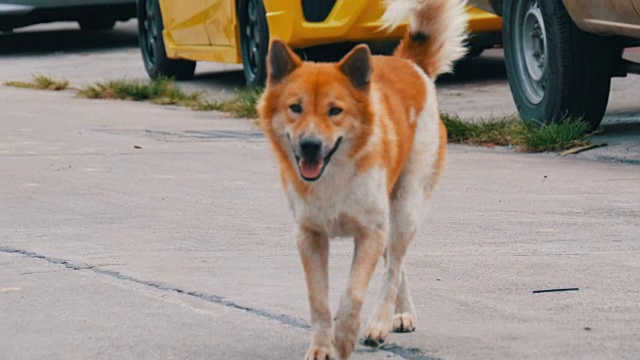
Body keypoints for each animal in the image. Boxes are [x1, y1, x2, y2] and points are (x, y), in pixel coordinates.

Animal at [256, 0, 470, 358]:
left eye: (335, 111)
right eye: (295, 108)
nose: (310, 144)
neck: (334, 174)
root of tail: (409, 64)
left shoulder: (371, 231)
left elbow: (354, 293)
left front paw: (345, 337)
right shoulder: (310, 236)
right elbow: (318, 300)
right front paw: (322, 346)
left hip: (405, 206)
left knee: (394, 266)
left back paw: (383, 321)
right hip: (391, 216)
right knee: (396, 264)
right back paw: (402, 313)